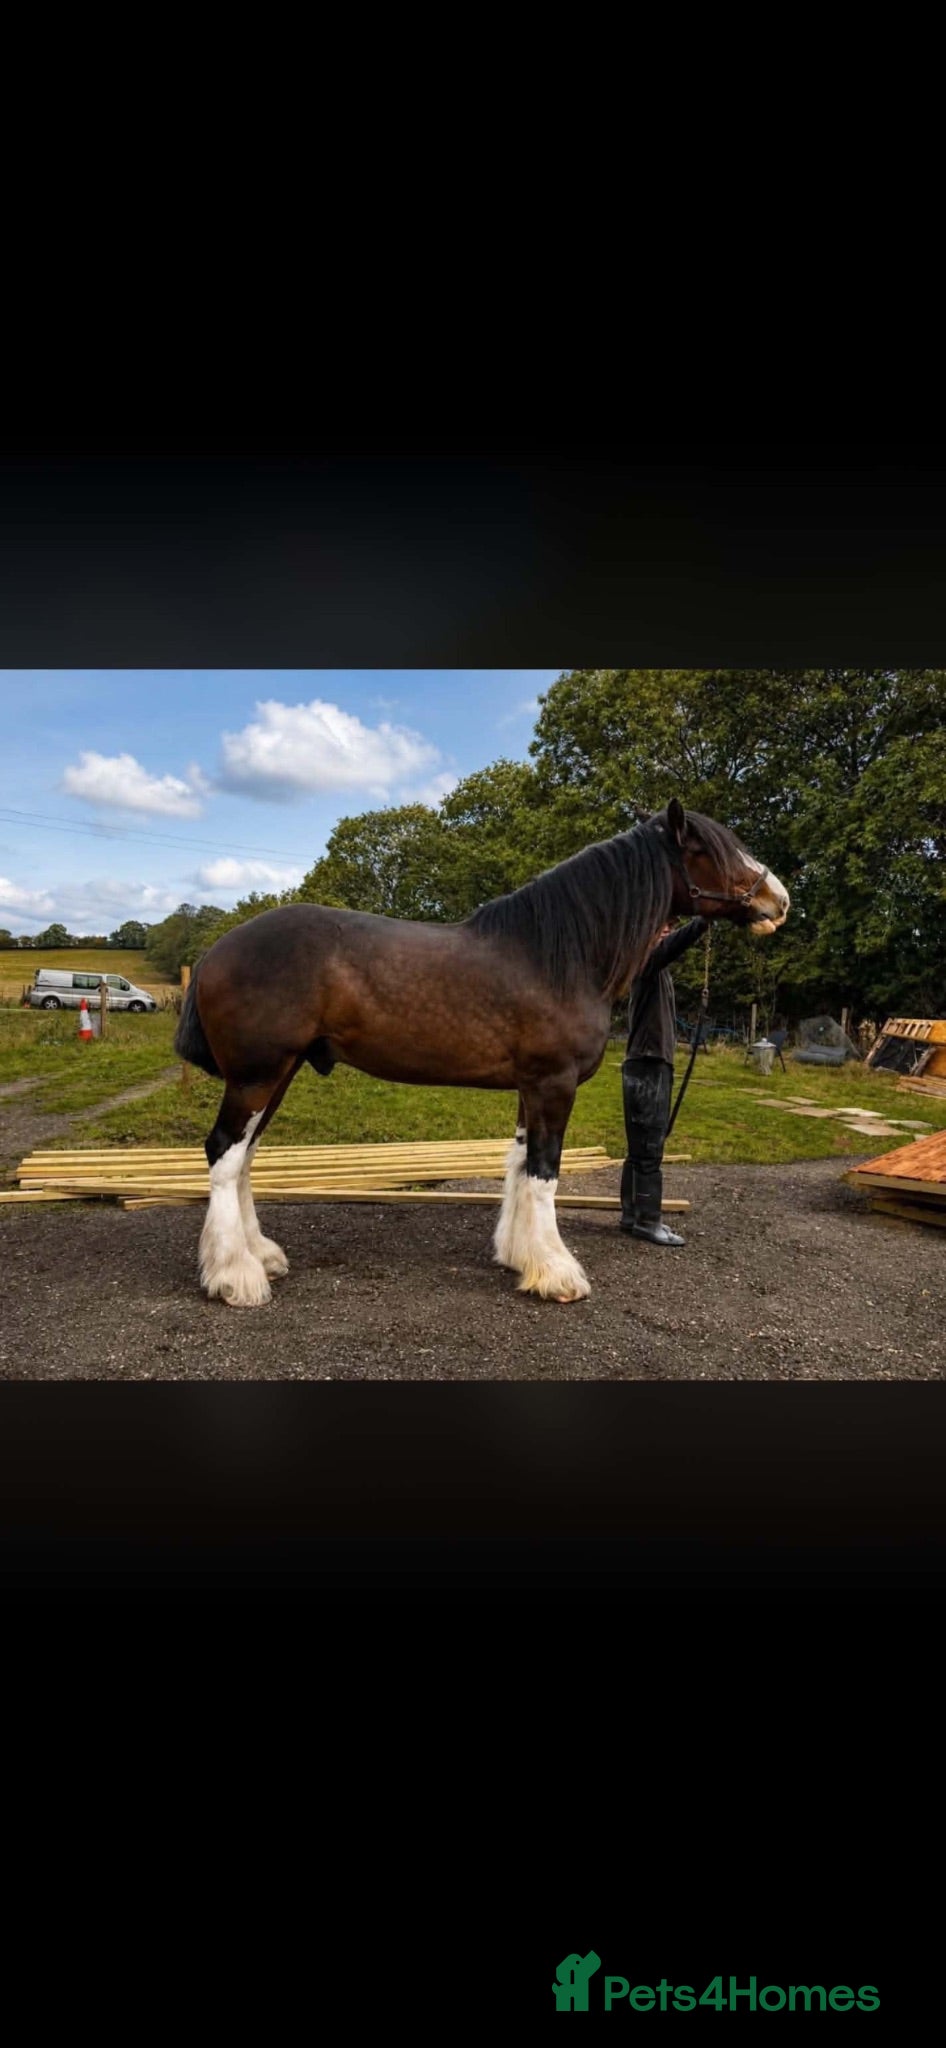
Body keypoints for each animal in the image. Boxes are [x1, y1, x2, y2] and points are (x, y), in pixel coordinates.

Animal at [174, 799, 789, 1309]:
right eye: (710, 850)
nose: (778, 900)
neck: (557, 956)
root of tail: (219, 948)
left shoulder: (530, 1087)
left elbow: (518, 1164)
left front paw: (520, 1257)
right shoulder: (553, 1083)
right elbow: (544, 1173)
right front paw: (558, 1273)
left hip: (277, 1074)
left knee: (244, 1157)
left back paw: (261, 1256)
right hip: (257, 1075)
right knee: (224, 1154)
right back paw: (235, 1277)